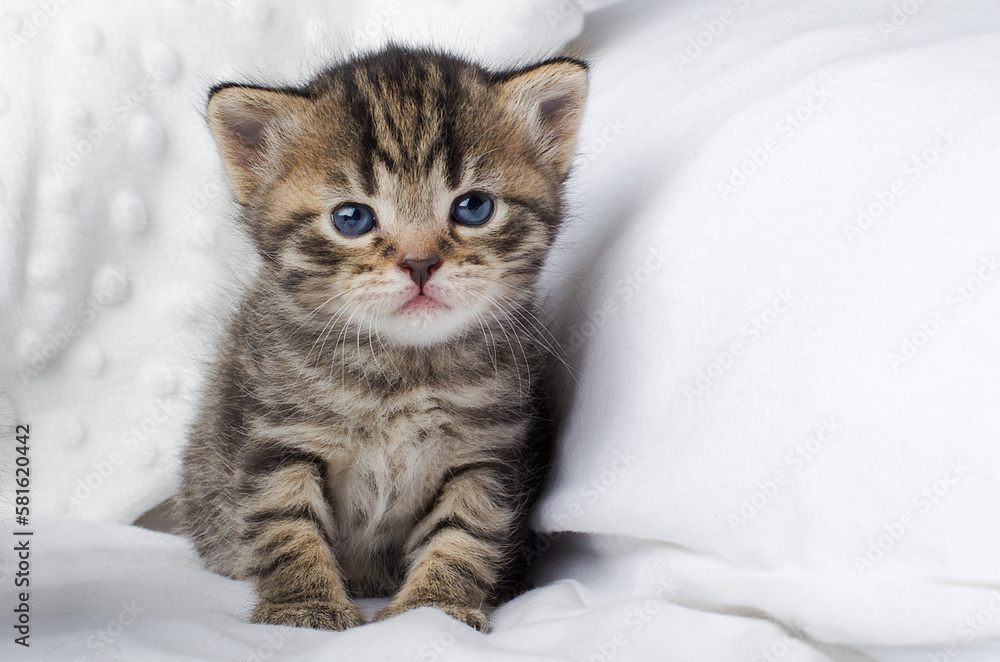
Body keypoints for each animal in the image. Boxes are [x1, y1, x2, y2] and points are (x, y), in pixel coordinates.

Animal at [178, 44, 584, 636]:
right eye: (352, 217)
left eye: (474, 208)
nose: (419, 263)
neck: (401, 367)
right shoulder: (274, 434)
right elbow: (285, 522)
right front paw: (304, 609)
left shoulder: (488, 451)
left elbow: (465, 531)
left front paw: (433, 608)